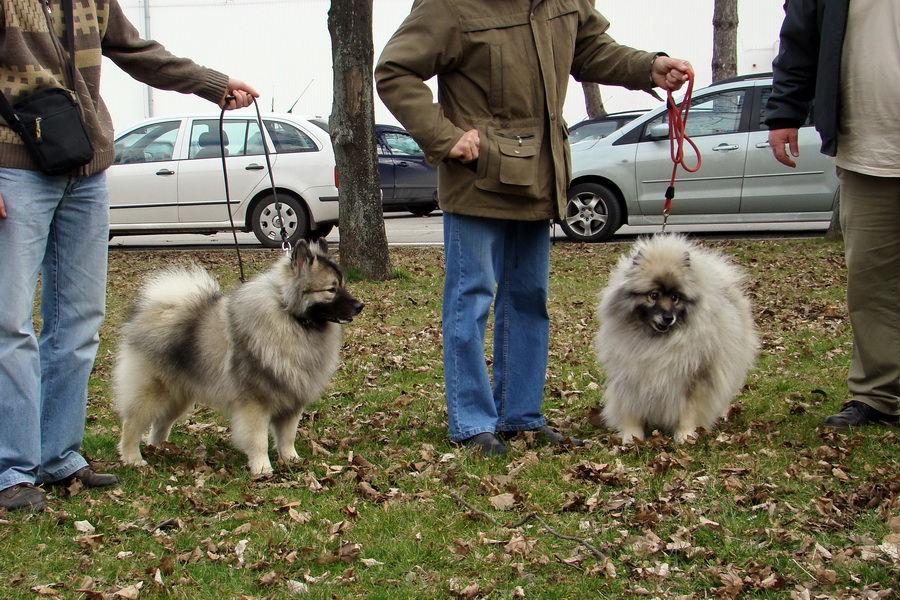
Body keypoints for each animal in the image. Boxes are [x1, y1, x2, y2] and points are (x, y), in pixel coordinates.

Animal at [114, 239, 360, 474]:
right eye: (331, 289)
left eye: (343, 285)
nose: (360, 305)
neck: (291, 319)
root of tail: (156, 311)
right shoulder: (255, 403)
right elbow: (259, 439)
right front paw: (262, 467)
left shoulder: (291, 400)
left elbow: (288, 436)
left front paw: (291, 459)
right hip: (152, 392)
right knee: (132, 424)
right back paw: (133, 458)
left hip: (178, 396)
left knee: (160, 424)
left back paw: (160, 449)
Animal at [596, 234, 760, 446]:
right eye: (653, 295)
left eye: (675, 297)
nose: (668, 318)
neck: (656, 342)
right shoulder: (630, 378)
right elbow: (631, 411)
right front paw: (632, 436)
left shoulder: (692, 380)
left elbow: (687, 412)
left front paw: (685, 435)